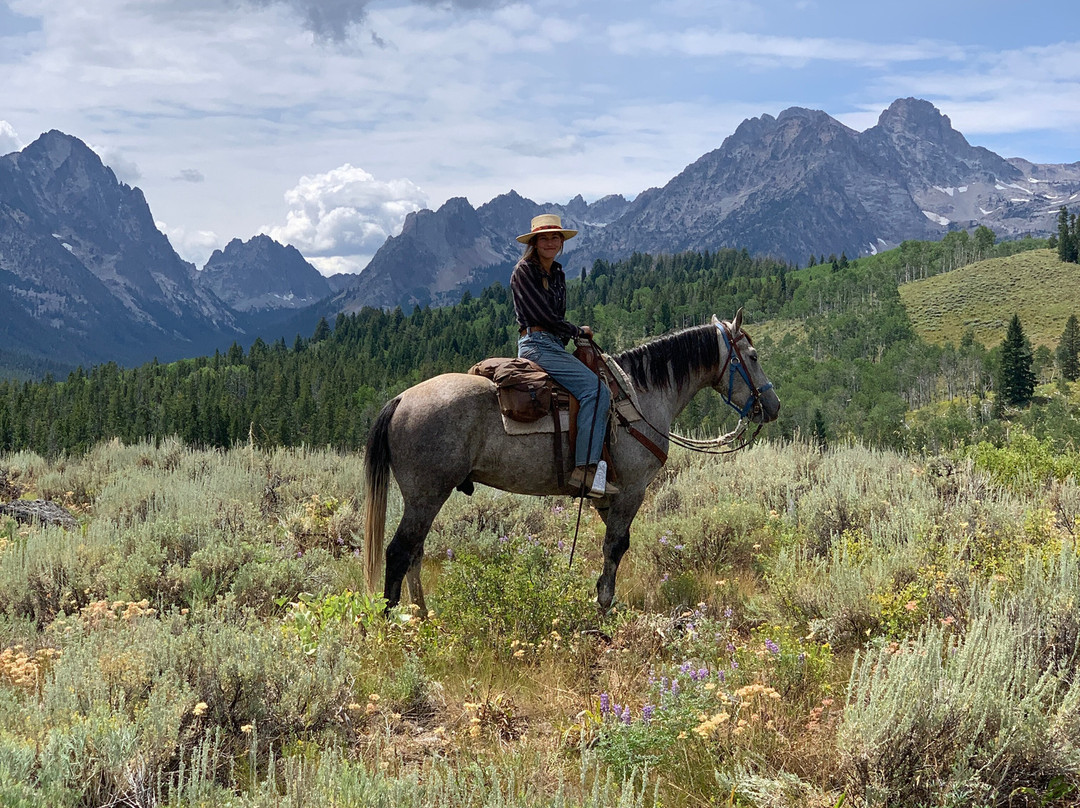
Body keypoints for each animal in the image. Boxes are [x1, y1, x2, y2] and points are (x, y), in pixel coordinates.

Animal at [367, 308, 781, 613]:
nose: (773, 406)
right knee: (399, 552)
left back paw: (423, 616)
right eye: (753, 357)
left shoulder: (607, 496)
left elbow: (613, 548)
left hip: (425, 497)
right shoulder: (632, 490)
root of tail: (400, 400)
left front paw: (600, 599)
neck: (641, 395)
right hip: (426, 495)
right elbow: (615, 547)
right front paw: (603, 609)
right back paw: (394, 624)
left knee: (415, 553)